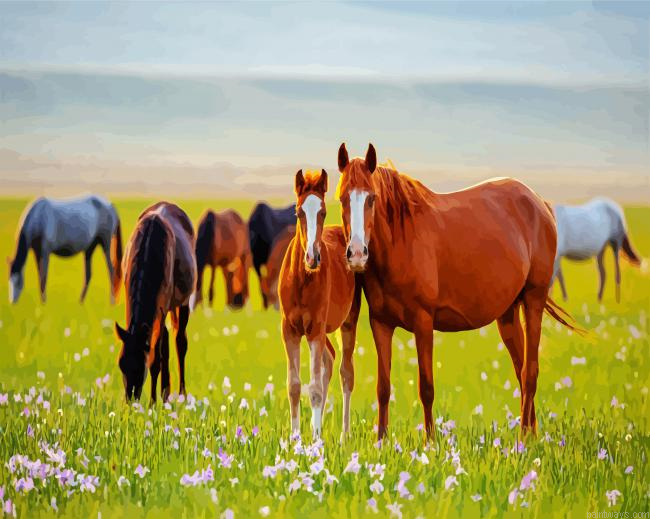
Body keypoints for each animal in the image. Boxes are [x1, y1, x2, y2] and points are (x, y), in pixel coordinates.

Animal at [114, 202, 196, 402]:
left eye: (139, 367)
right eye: (121, 364)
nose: (130, 399)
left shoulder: (163, 306)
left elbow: (155, 360)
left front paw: (152, 403)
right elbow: (159, 353)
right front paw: (158, 397)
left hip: (181, 302)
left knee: (180, 342)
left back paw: (180, 395)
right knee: (165, 342)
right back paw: (165, 393)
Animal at [278, 170, 361, 439]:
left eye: (323, 211)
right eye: (298, 212)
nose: (312, 257)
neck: (302, 280)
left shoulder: (314, 329)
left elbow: (313, 389)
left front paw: (314, 441)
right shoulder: (290, 330)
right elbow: (294, 386)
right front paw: (295, 439)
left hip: (346, 321)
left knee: (346, 372)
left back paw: (344, 436)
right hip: (323, 330)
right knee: (329, 359)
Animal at [336, 143, 579, 439]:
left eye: (371, 198)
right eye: (342, 198)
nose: (357, 254)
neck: (400, 242)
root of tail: (539, 203)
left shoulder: (423, 322)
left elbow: (426, 388)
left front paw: (430, 442)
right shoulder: (380, 323)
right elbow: (383, 388)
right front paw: (381, 441)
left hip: (533, 301)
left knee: (529, 373)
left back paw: (523, 439)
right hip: (508, 314)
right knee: (521, 370)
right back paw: (530, 436)